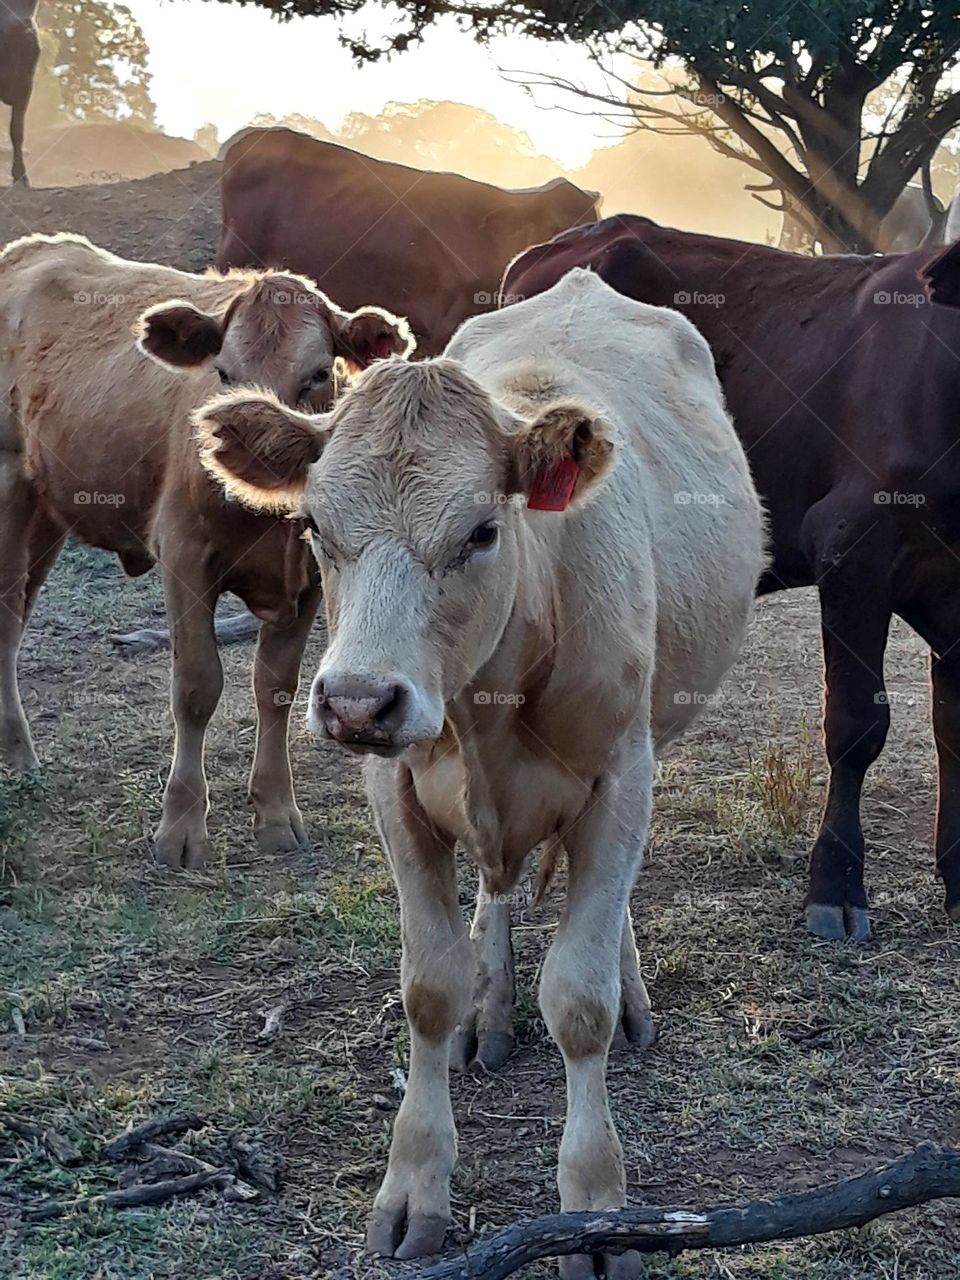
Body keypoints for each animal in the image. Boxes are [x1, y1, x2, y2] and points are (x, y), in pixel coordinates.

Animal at [0, 232, 412, 868]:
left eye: (319, 375)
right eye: (223, 371)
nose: (252, 445)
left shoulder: (309, 579)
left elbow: (276, 687)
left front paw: (275, 812)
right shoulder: (184, 556)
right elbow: (197, 686)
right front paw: (181, 827)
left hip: (47, 512)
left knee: (17, 617)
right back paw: (21, 758)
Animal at [190, 268, 765, 1269]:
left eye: (482, 531)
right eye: (314, 524)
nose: (356, 702)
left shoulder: (622, 778)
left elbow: (580, 997)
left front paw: (595, 1208)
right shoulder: (395, 791)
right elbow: (429, 985)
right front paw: (414, 1181)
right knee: (493, 897)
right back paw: (488, 1011)